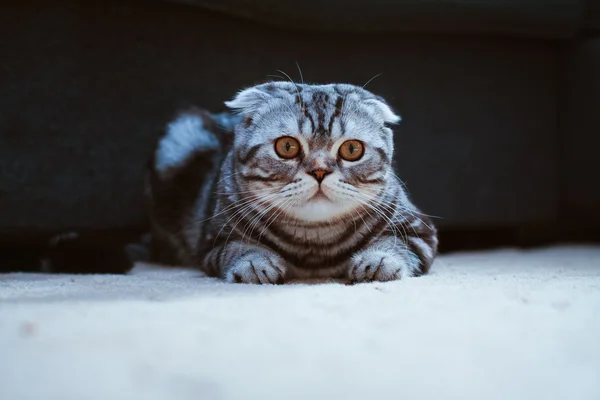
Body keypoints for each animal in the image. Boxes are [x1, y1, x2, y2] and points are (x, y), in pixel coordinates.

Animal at [146, 81, 436, 282]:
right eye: (287, 146)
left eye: (352, 149)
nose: (319, 171)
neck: (315, 244)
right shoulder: (213, 242)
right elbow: (237, 248)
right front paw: (255, 263)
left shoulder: (421, 232)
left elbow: (396, 243)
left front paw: (379, 261)